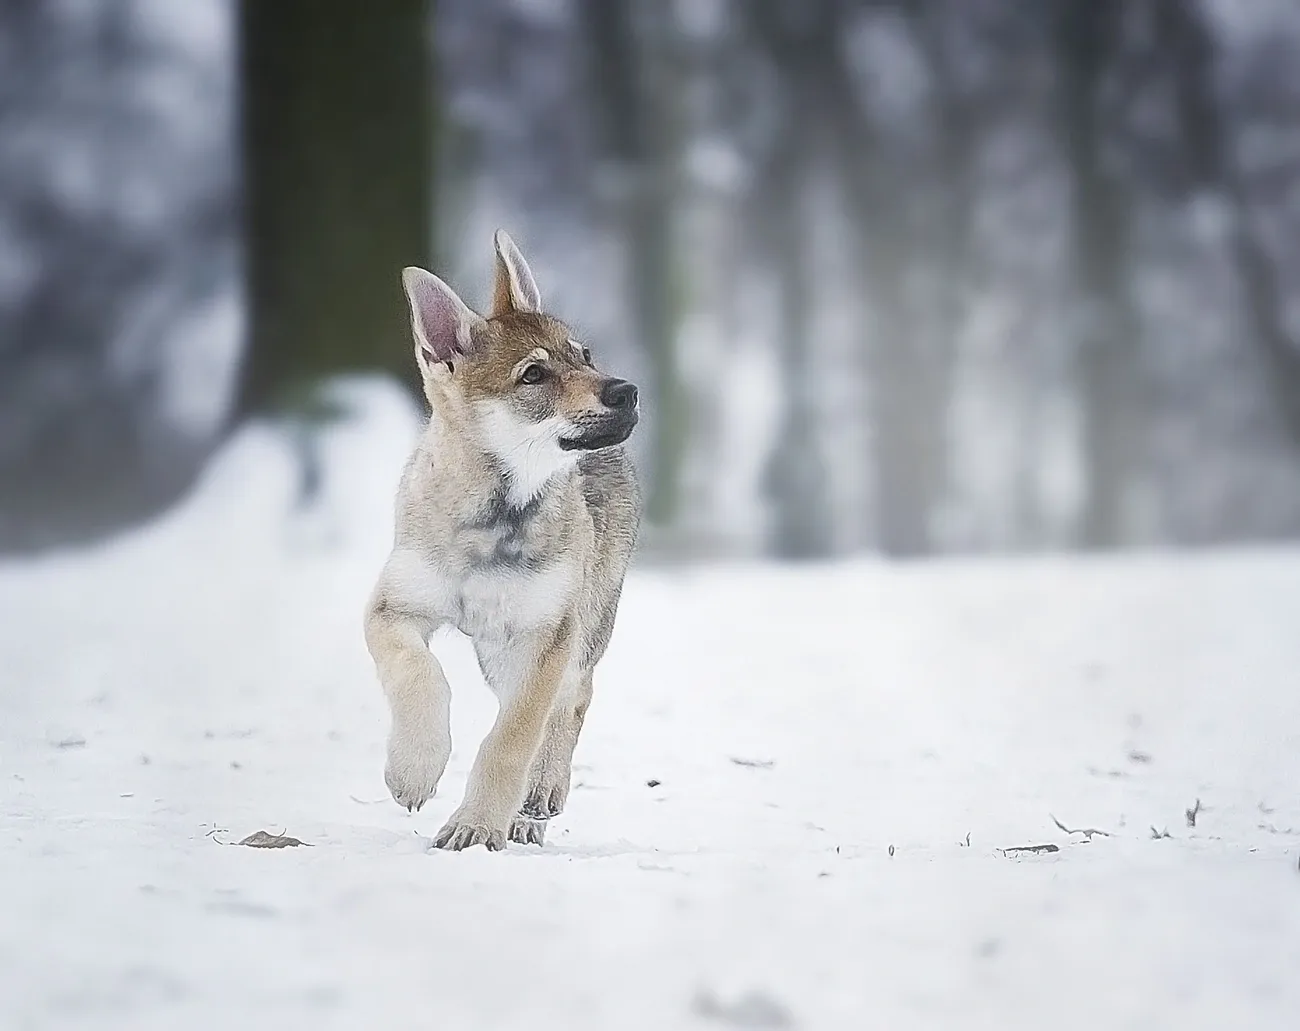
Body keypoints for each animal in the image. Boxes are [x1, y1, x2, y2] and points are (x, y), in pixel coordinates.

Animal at [363, 230, 641, 851]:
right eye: (533, 375)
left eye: (584, 356)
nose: (628, 390)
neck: (495, 519)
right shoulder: (393, 611)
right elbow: (420, 676)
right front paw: (413, 769)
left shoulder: (545, 637)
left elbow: (511, 738)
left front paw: (477, 824)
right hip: (498, 654)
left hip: (577, 631)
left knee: (571, 702)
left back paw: (535, 801)